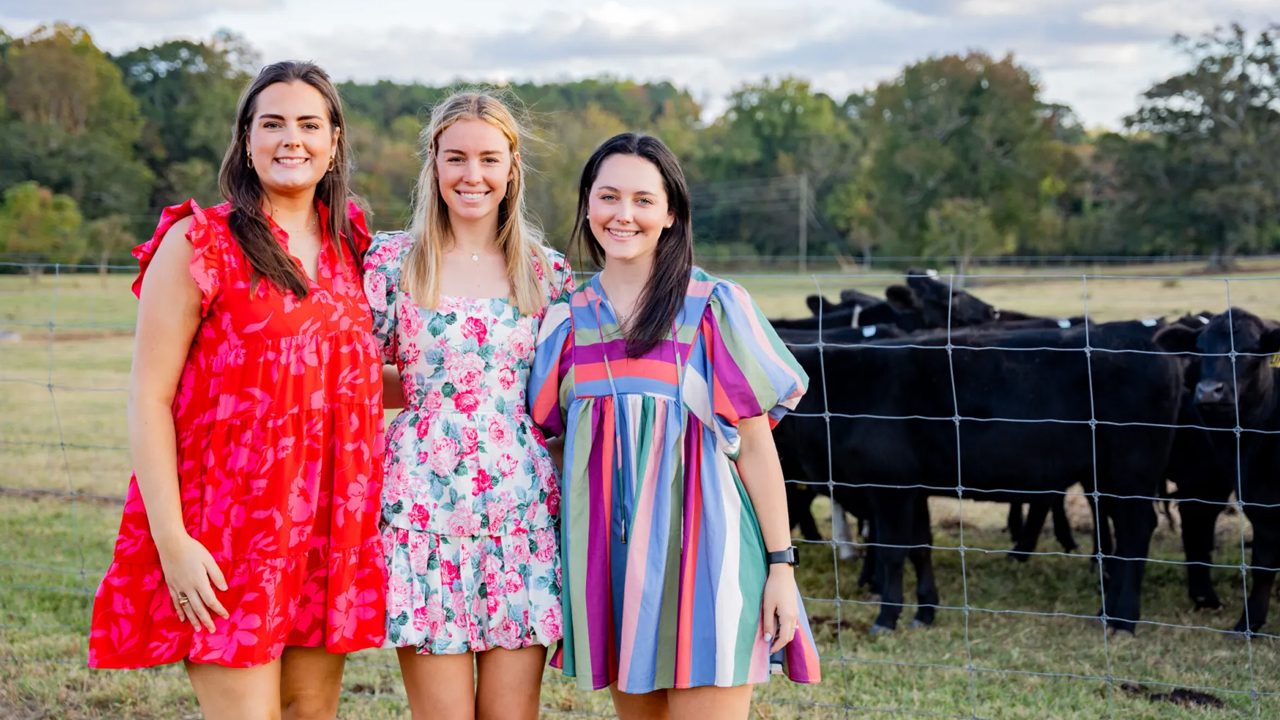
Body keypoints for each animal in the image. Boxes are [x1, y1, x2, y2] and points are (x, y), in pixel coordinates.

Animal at [773, 322, 1182, 630]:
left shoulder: (890, 486)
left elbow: (893, 552)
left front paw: (887, 618)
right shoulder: (915, 488)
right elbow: (921, 547)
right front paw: (925, 612)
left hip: (1131, 471)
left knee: (1136, 532)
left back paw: (1123, 619)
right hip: (1106, 478)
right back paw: (1106, 613)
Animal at [1152, 308, 1280, 627]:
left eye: (1249, 350)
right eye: (1200, 349)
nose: (1210, 392)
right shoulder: (1261, 500)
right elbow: (1263, 564)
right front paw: (1249, 623)